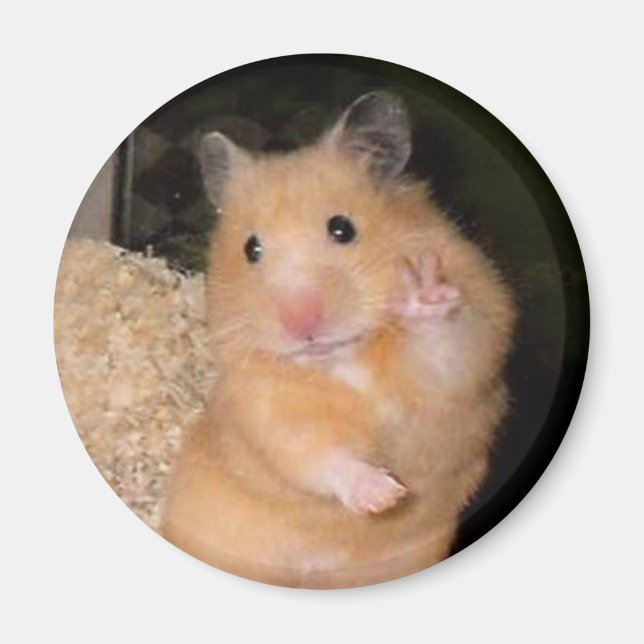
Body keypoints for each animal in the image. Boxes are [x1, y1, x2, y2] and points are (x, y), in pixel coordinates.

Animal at [161, 91, 517, 588]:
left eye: (342, 228)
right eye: (251, 249)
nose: (301, 324)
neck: (346, 360)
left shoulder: (472, 352)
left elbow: (445, 348)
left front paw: (420, 291)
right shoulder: (264, 406)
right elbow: (315, 454)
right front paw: (384, 496)